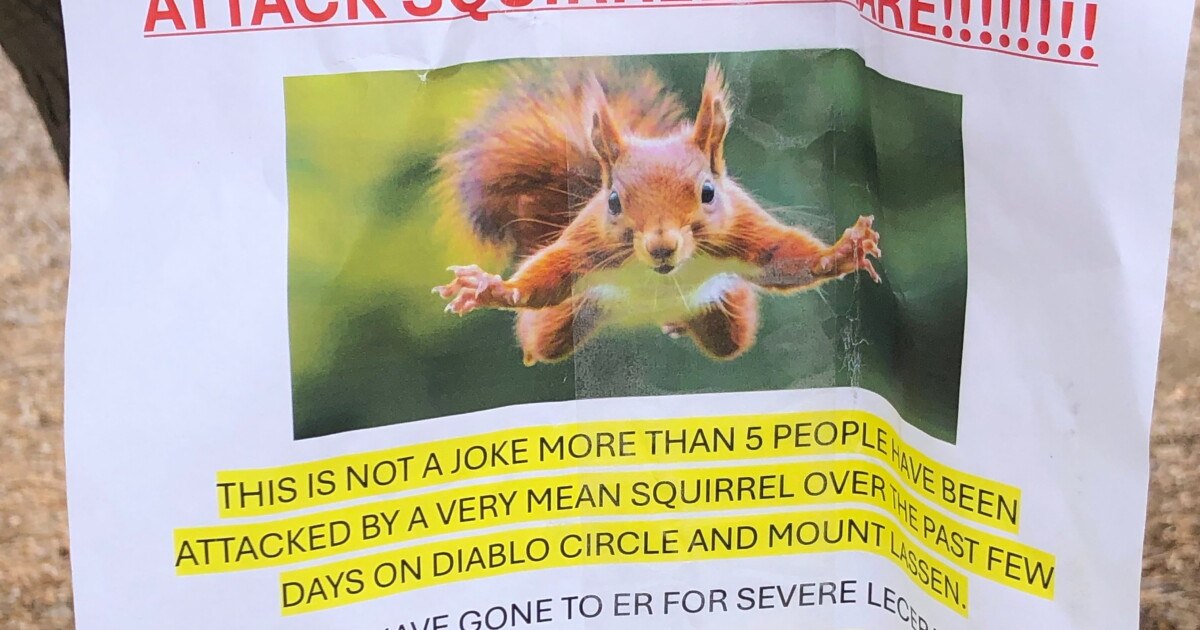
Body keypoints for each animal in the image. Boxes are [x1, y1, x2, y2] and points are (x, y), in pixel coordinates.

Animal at [433, 59, 882, 366]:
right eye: (614, 201)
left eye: (708, 192)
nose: (661, 246)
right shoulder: (588, 244)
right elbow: (550, 275)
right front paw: (492, 288)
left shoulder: (741, 229)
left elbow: (782, 259)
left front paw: (842, 253)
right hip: (564, 321)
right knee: (542, 336)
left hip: (725, 319)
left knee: (728, 339)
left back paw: (679, 324)